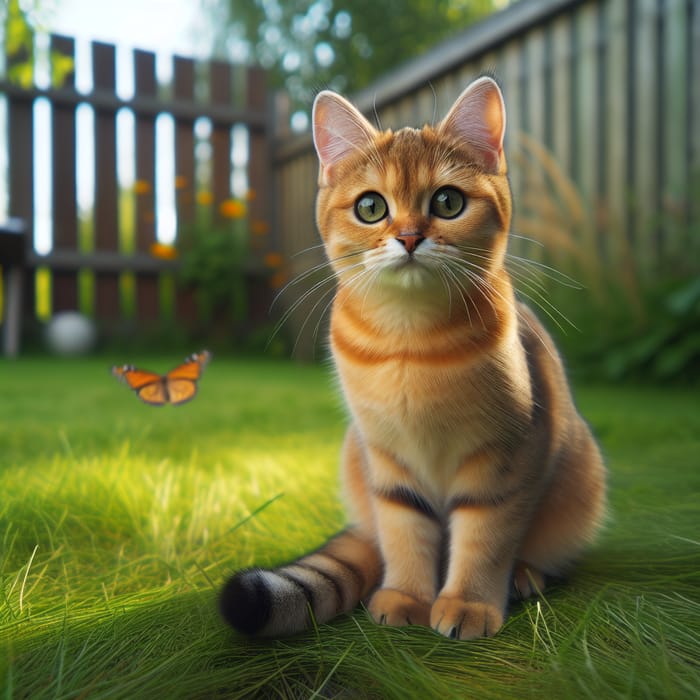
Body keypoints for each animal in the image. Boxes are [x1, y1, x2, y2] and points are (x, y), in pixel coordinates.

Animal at [220, 75, 608, 640]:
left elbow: (484, 536)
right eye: (371, 207)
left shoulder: (504, 457)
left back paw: (524, 575)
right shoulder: (386, 456)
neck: (410, 344)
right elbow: (404, 529)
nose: (408, 237)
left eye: (447, 201)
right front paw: (407, 596)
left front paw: (468, 603)